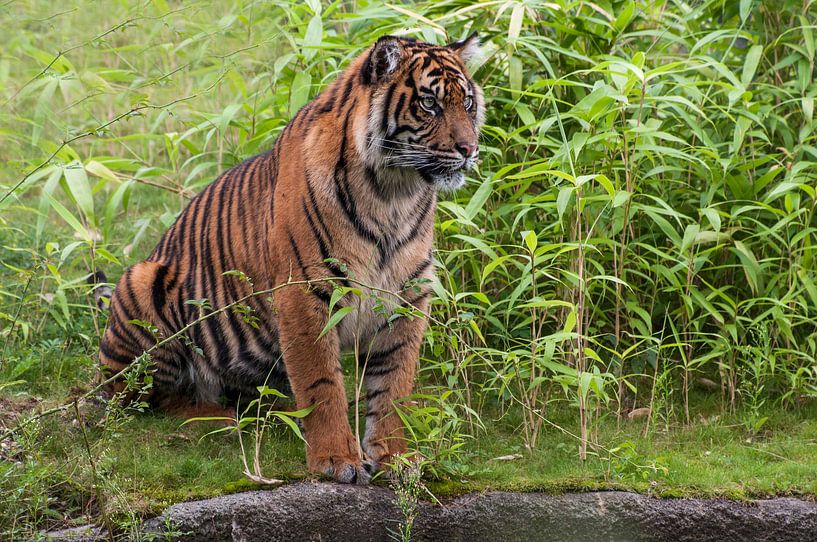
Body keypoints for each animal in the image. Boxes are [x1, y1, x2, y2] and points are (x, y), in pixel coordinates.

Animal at [99, 34, 488, 484]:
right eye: (429, 103)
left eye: (468, 103)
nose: (469, 149)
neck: (394, 193)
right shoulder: (305, 292)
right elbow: (322, 383)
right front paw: (337, 459)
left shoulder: (407, 296)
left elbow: (394, 386)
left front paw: (396, 459)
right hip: (140, 286)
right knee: (148, 399)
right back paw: (220, 419)